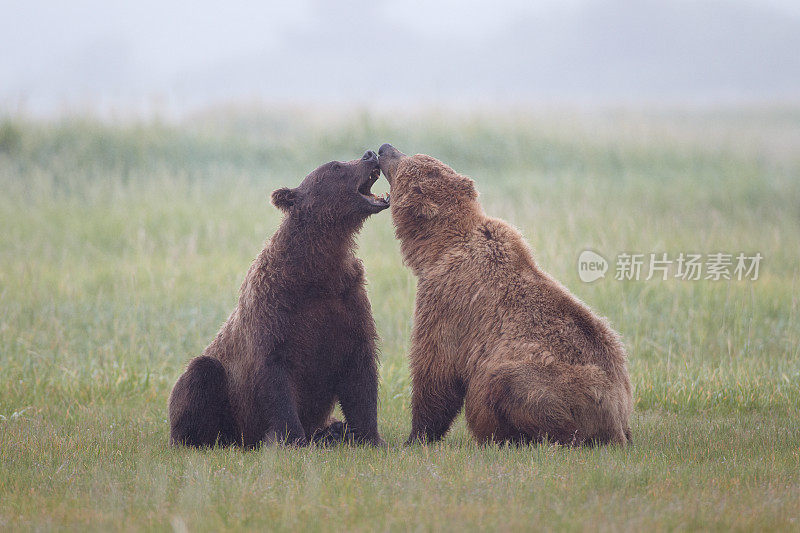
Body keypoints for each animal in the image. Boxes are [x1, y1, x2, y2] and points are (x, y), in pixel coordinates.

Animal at [170, 152, 390, 446]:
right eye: (336, 166)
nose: (369, 154)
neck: (316, 270)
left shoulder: (347, 302)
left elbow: (360, 373)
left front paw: (370, 437)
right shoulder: (276, 309)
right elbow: (275, 378)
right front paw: (292, 439)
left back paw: (332, 432)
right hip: (224, 394)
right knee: (200, 373)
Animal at [378, 143, 636, 446]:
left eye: (405, 159)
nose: (383, 148)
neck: (437, 247)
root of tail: (617, 417)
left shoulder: (447, 297)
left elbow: (436, 368)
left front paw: (416, 437)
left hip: (557, 384)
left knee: (505, 383)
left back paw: (516, 437)